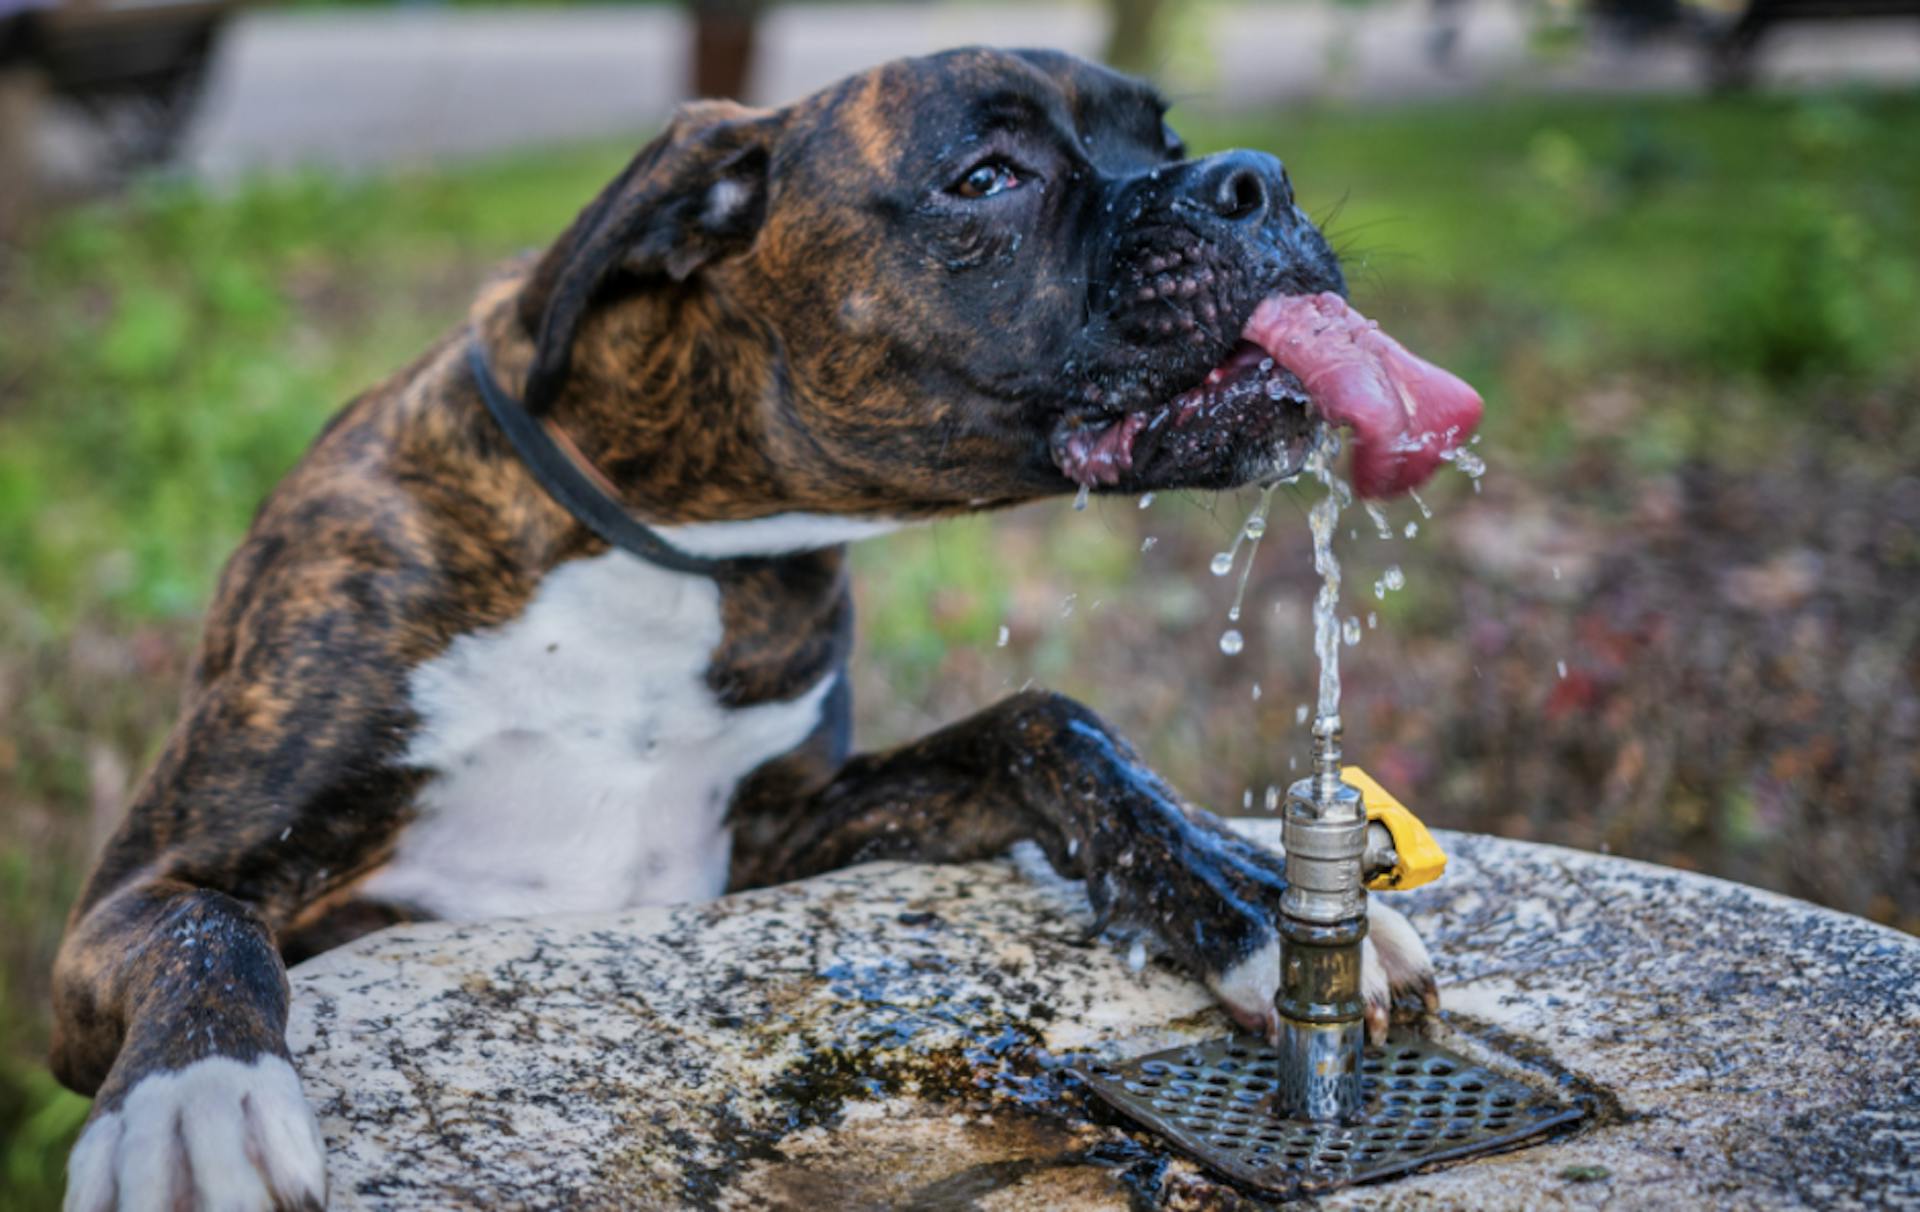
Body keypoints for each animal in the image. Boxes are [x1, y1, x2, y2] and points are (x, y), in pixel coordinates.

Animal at [52, 49, 1474, 1212]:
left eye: (1164, 136)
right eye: (986, 177)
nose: (1252, 180)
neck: (661, 545)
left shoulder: (775, 844)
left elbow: (1046, 724)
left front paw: (1243, 898)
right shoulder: (138, 898)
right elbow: (205, 930)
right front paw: (195, 1108)